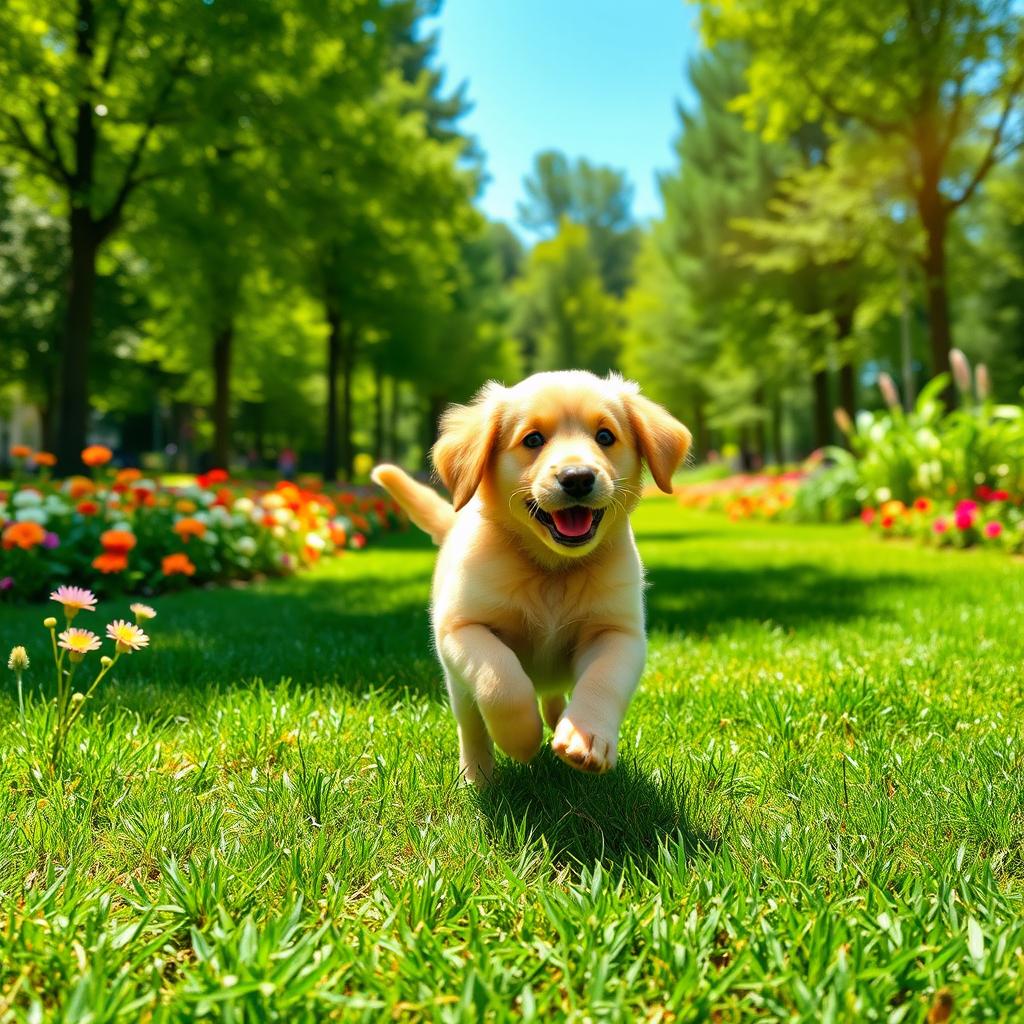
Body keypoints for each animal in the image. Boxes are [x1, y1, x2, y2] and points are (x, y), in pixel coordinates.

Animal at [372, 372, 692, 786]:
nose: (577, 478)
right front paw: (520, 738)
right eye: (533, 440)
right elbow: (501, 679)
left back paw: (559, 720)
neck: (552, 570)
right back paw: (478, 776)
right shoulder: (462, 629)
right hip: (458, 687)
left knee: (554, 693)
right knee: (471, 726)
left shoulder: (618, 633)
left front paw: (586, 737)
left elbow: (603, 680)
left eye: (605, 436)